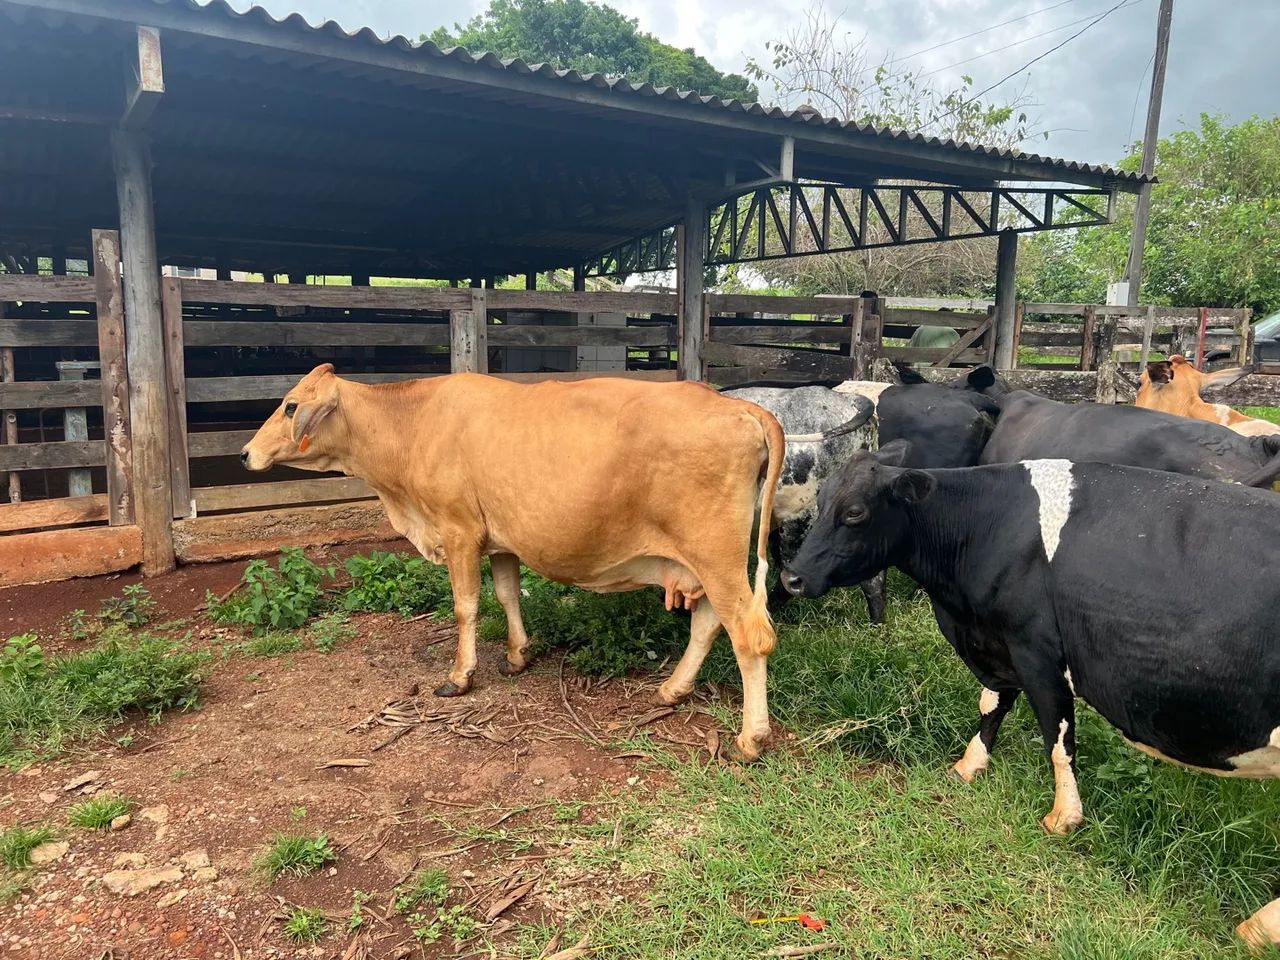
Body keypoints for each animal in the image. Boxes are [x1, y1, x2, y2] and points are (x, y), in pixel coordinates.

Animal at [241, 365, 785, 761]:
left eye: (290, 405)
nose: (245, 453)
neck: (412, 424)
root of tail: (738, 405)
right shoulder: (500, 539)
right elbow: (505, 594)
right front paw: (518, 655)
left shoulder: (459, 531)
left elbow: (466, 606)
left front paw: (460, 676)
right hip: (709, 563)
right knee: (710, 623)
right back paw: (672, 689)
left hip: (715, 555)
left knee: (750, 634)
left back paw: (751, 739)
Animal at [779, 442, 1280, 949]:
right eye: (820, 501)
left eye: (855, 512)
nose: (791, 577)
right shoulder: (999, 643)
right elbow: (993, 703)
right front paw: (969, 764)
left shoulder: (1036, 649)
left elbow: (1057, 739)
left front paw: (1063, 817)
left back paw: (1258, 927)